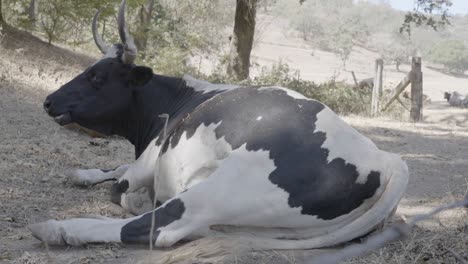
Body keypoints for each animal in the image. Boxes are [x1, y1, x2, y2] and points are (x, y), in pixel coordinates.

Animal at [30, 0, 410, 251]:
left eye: (98, 76)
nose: (49, 101)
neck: (174, 101)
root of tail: (388, 160)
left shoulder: (150, 159)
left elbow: (121, 185)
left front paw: (129, 194)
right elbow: (114, 168)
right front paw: (83, 173)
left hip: (227, 186)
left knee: (160, 226)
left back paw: (58, 228)